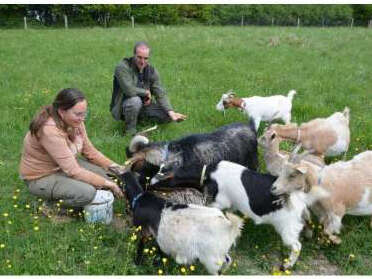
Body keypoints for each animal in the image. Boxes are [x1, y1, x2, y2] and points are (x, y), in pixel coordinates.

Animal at [150, 162, 326, 272]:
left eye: (163, 180)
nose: (148, 186)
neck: (209, 173)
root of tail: (301, 199)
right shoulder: (230, 205)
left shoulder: (220, 201)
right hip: (300, 221)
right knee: (307, 225)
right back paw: (308, 235)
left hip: (287, 229)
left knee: (296, 246)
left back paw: (287, 265)